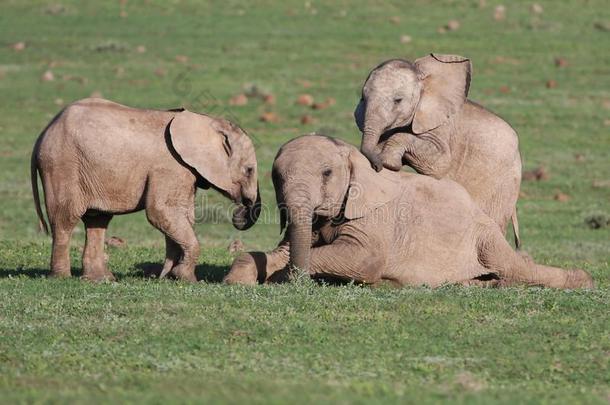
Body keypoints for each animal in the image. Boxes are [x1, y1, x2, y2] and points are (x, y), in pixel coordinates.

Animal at [31, 98, 258, 280]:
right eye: (249, 170)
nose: (241, 208)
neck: (207, 122)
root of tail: (43, 133)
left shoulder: (184, 171)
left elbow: (182, 215)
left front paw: (169, 276)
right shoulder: (170, 167)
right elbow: (161, 211)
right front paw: (185, 278)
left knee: (97, 220)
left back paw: (101, 279)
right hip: (62, 165)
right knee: (65, 218)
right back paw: (62, 278)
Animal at [223, 135, 588, 288]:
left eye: (327, 173)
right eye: (276, 177)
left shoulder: (376, 218)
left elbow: (364, 260)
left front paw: (281, 277)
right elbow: (276, 252)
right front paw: (241, 279)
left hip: (483, 233)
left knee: (510, 265)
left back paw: (581, 281)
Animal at [354, 52, 520, 246]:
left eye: (398, 100)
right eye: (362, 98)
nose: (377, 167)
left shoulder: (441, 125)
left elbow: (441, 163)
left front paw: (390, 163)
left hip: (504, 185)